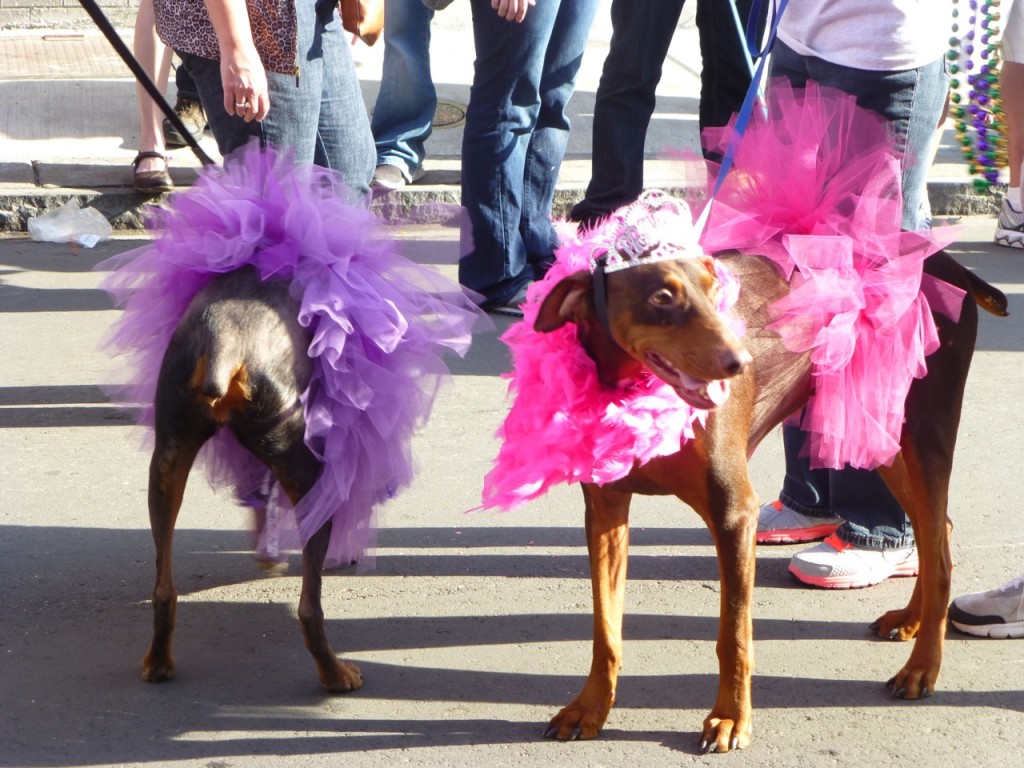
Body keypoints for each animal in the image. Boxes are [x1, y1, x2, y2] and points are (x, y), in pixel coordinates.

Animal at [536, 249, 1007, 753]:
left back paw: (922, 667)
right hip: (879, 433)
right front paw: (589, 706)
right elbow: (605, 627)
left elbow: (734, 635)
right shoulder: (605, 511)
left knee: (937, 553)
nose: (741, 361)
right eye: (662, 298)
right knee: (937, 531)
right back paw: (912, 619)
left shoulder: (732, 512)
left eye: (714, 287)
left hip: (922, 429)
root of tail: (949, 263)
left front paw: (729, 718)